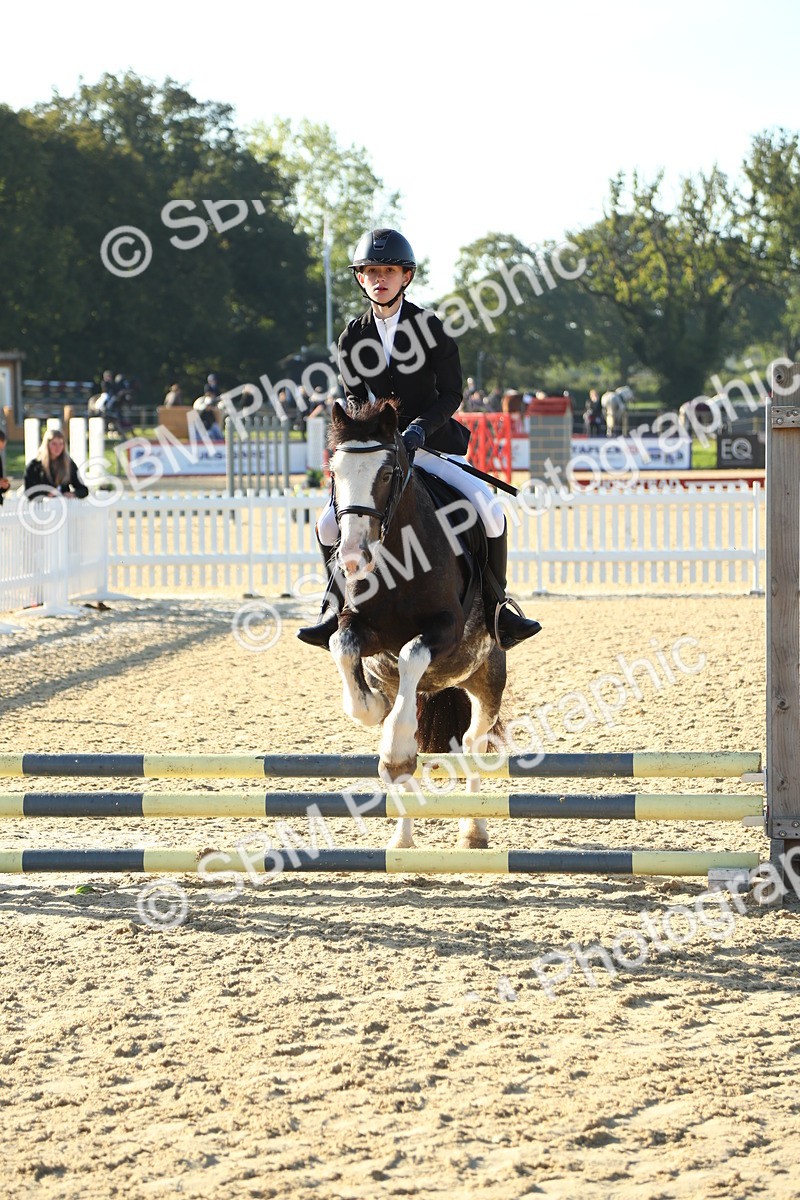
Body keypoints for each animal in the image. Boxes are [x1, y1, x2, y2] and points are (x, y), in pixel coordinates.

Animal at [326, 399, 507, 851]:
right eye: (334, 472)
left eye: (387, 473)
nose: (352, 558)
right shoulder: (360, 627)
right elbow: (343, 647)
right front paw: (372, 709)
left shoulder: (446, 628)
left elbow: (411, 653)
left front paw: (394, 743)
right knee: (408, 768)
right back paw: (402, 840)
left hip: (487, 678)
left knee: (474, 743)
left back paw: (474, 830)